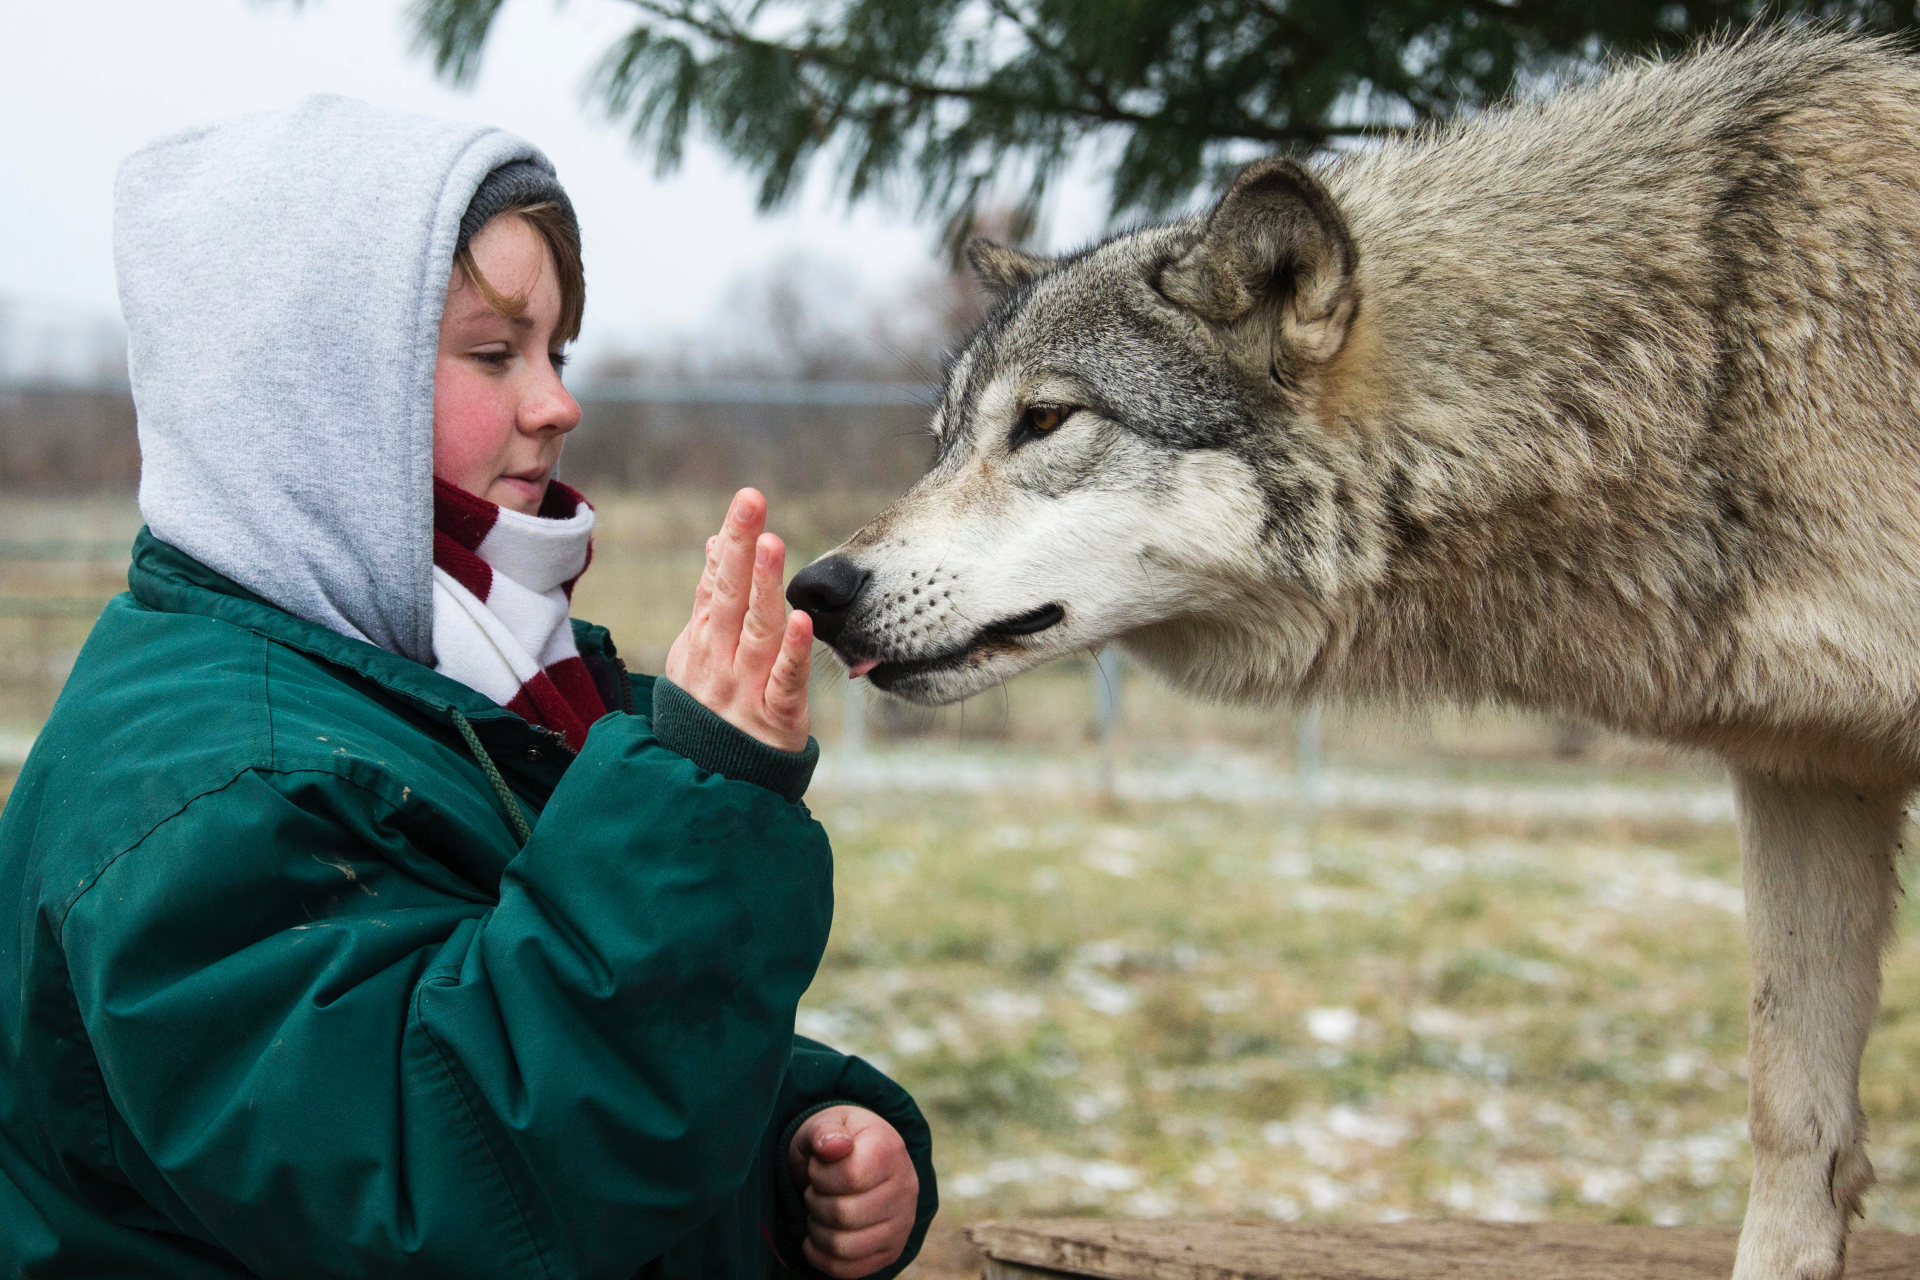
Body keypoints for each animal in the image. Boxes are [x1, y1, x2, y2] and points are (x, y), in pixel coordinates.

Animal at [783, 27, 1920, 1280]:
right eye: (943, 441)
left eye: (1043, 422)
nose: (817, 589)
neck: (1711, 357)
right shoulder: (1807, 770)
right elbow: (1793, 1114)